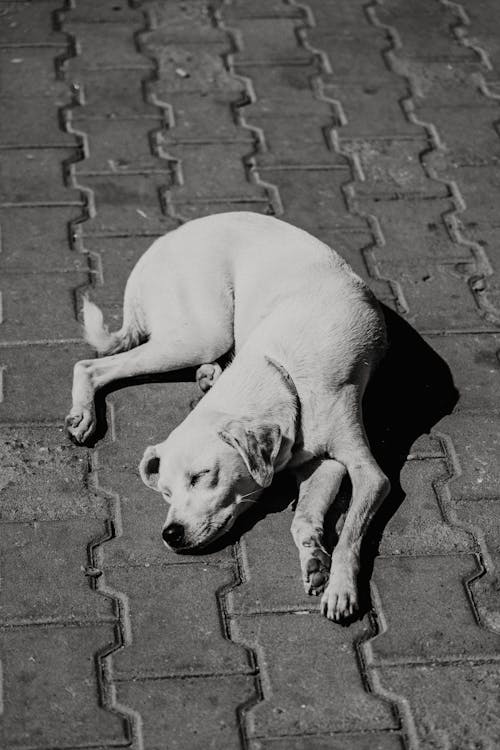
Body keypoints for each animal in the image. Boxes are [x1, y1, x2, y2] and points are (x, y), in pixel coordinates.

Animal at [66, 212, 388, 624]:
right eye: (165, 492)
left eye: (201, 476)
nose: (170, 534)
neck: (283, 374)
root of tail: (157, 248)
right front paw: (320, 563)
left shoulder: (356, 470)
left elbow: (336, 529)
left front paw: (334, 581)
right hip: (203, 332)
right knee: (91, 365)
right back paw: (84, 414)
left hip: (206, 335)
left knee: (93, 364)